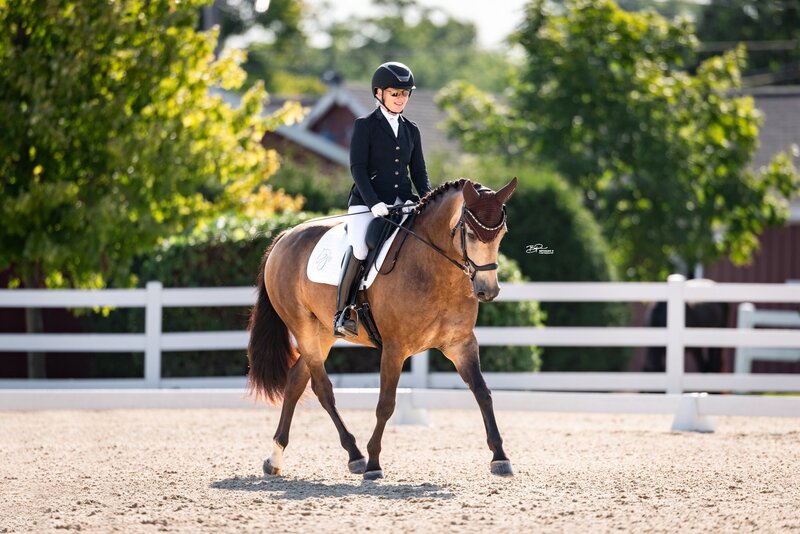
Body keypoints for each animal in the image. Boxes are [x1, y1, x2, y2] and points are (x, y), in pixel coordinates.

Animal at [247, 177, 518, 480]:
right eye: (470, 233)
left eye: (502, 233)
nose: (487, 291)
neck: (434, 269)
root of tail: (285, 236)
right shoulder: (394, 349)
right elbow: (385, 404)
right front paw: (374, 464)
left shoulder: (461, 344)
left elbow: (483, 393)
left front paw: (500, 457)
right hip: (303, 328)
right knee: (322, 388)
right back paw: (356, 456)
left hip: (322, 333)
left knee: (296, 381)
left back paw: (275, 458)